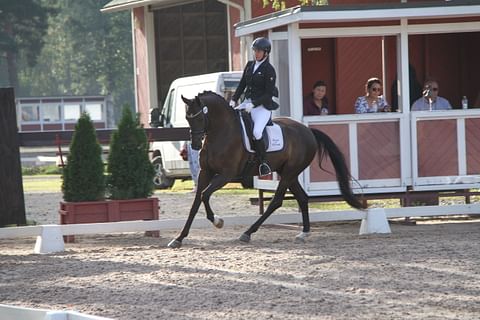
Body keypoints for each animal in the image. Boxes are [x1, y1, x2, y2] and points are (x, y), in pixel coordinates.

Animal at [167, 91, 366, 249]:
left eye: (200, 118)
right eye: (188, 119)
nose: (194, 145)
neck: (221, 132)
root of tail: (308, 131)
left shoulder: (226, 175)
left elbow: (204, 195)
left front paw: (218, 221)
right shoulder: (205, 172)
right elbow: (195, 203)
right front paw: (179, 238)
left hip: (289, 173)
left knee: (276, 201)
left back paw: (247, 233)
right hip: (289, 173)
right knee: (302, 198)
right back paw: (304, 233)